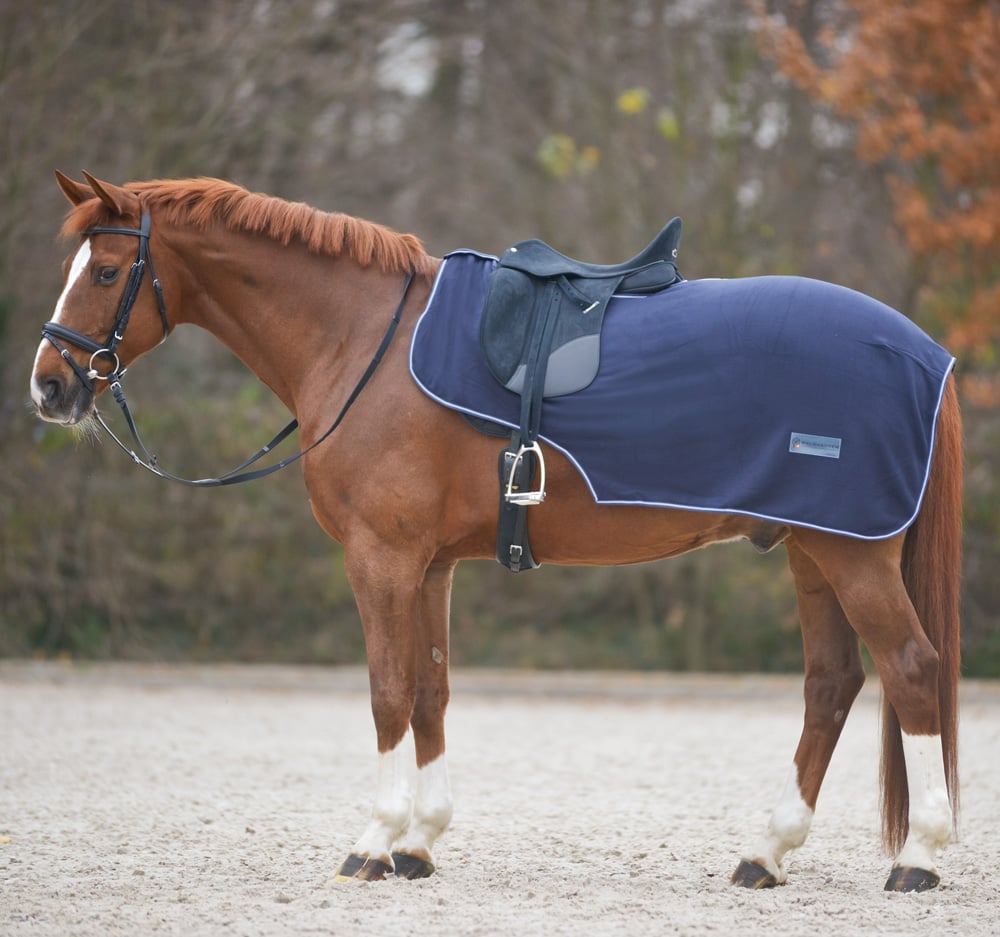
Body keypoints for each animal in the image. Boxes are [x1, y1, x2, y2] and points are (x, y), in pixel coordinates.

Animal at [30, 171, 962, 893]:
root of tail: (924, 352)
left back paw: (918, 857)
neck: (362, 339)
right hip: (811, 550)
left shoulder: (381, 558)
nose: (49, 386)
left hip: (852, 554)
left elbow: (386, 691)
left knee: (912, 669)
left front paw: (373, 842)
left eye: (107, 270)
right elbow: (430, 691)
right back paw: (766, 853)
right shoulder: (430, 564)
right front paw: (418, 842)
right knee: (831, 685)